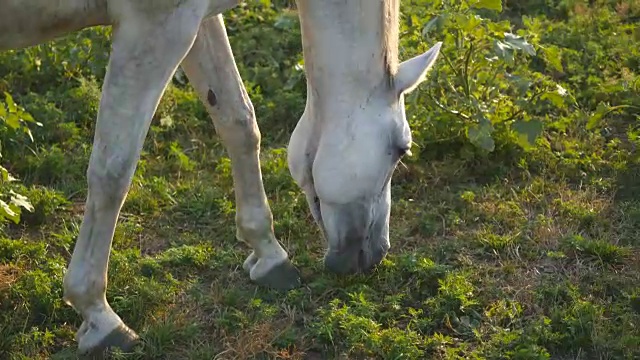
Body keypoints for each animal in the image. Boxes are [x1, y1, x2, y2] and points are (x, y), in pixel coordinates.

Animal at [0, 0, 440, 354]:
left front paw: (269, 253)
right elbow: (113, 171)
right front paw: (98, 314)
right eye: (402, 149)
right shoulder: (155, 29)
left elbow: (238, 120)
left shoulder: (195, 20)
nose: (374, 253)